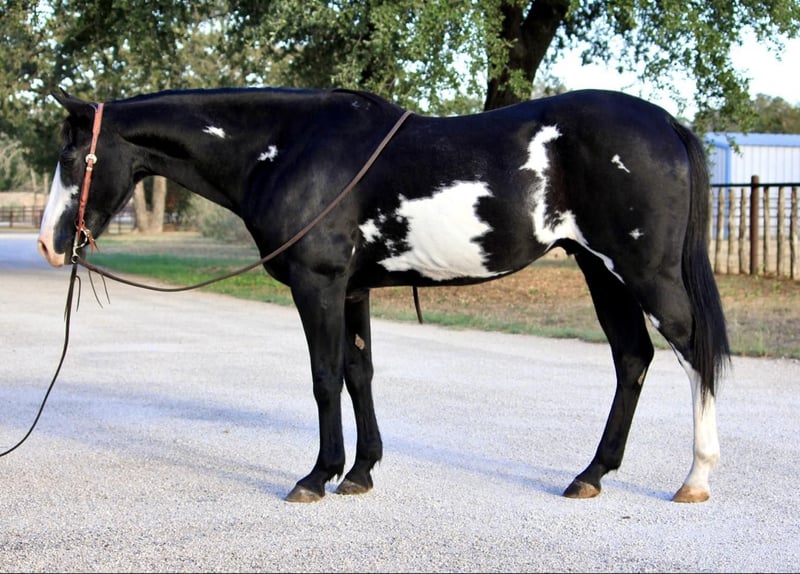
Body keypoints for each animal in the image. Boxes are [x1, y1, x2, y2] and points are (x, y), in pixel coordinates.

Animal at [37, 86, 729, 504]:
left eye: (72, 158)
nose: (48, 243)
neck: (288, 148)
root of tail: (667, 124)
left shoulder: (318, 285)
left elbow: (323, 377)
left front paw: (317, 476)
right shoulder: (351, 290)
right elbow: (358, 373)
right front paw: (361, 472)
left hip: (641, 271)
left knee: (693, 349)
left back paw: (695, 478)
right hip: (599, 270)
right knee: (632, 358)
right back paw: (591, 475)